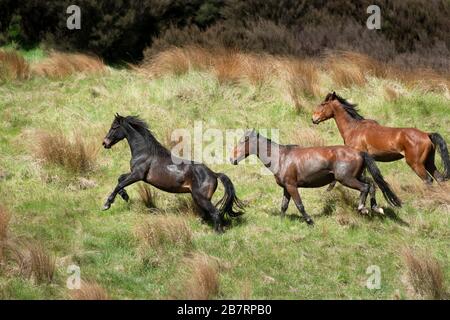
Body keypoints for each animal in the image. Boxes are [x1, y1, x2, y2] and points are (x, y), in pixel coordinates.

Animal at [101, 115, 244, 232]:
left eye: (114, 127)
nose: (104, 143)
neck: (144, 152)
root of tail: (214, 174)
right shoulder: (134, 174)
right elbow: (120, 179)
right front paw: (125, 196)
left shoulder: (138, 175)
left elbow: (119, 184)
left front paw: (106, 204)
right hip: (198, 198)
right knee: (208, 214)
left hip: (200, 198)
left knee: (215, 213)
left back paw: (217, 233)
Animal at [230, 130, 402, 225]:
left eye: (243, 141)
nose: (232, 159)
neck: (281, 158)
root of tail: (359, 152)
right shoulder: (286, 187)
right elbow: (284, 206)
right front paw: (280, 222)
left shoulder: (292, 186)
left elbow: (299, 205)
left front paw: (309, 221)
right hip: (356, 176)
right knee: (372, 184)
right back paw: (375, 207)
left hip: (347, 179)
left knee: (365, 187)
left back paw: (362, 208)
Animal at [312, 92, 450, 185]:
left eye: (323, 104)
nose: (313, 118)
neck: (354, 128)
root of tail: (427, 134)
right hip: (429, 162)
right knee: (439, 178)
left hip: (416, 164)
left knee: (428, 180)